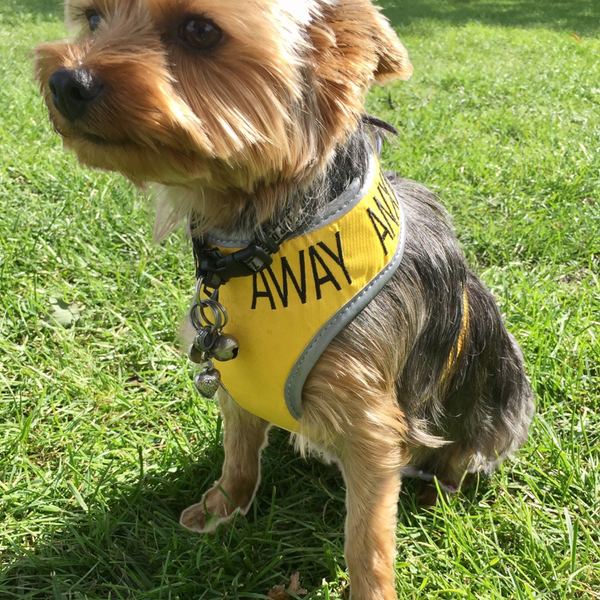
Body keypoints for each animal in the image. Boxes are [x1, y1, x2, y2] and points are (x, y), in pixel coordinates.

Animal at [34, 2, 536, 596]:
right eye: (91, 19)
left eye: (200, 31)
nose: (66, 81)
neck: (266, 232)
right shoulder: (237, 378)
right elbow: (239, 457)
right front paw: (222, 513)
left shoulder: (370, 420)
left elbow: (368, 533)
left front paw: (372, 589)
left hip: (497, 403)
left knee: (464, 458)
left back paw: (437, 492)